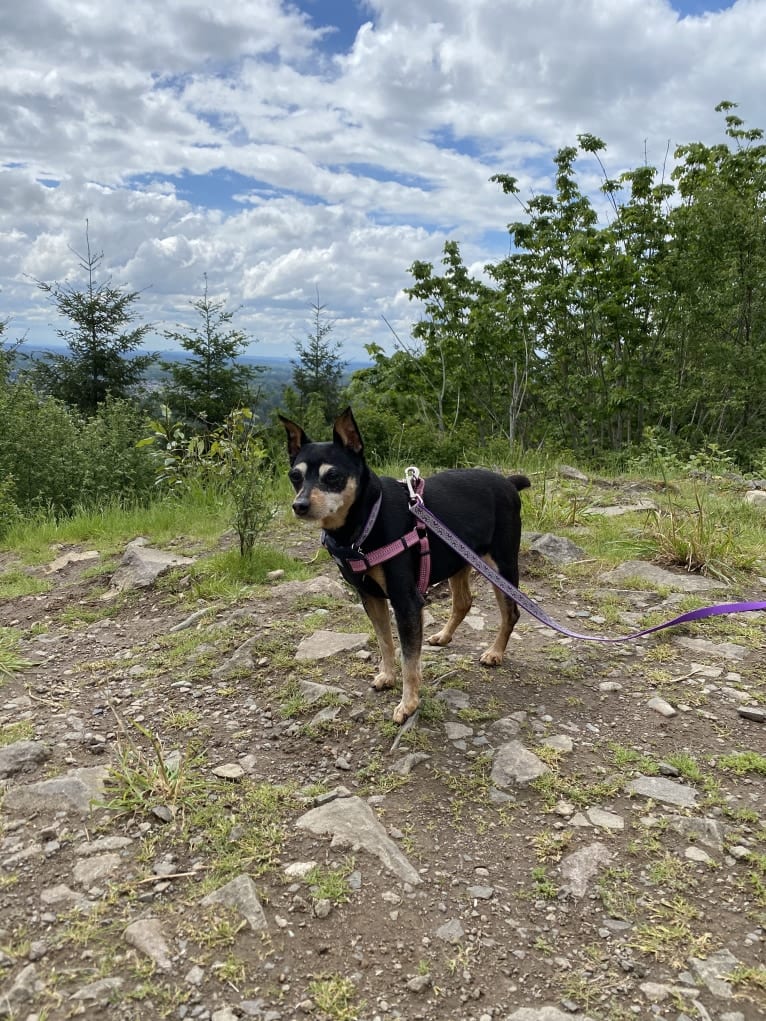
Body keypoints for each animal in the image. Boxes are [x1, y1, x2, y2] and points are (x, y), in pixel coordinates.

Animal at [281, 408, 535, 726]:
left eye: (333, 476)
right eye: (294, 476)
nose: (300, 505)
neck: (365, 520)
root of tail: (509, 483)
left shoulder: (406, 601)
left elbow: (409, 658)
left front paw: (408, 704)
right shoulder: (370, 597)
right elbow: (385, 642)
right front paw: (387, 676)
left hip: (502, 566)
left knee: (510, 612)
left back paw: (495, 652)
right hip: (459, 559)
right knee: (463, 602)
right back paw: (444, 635)